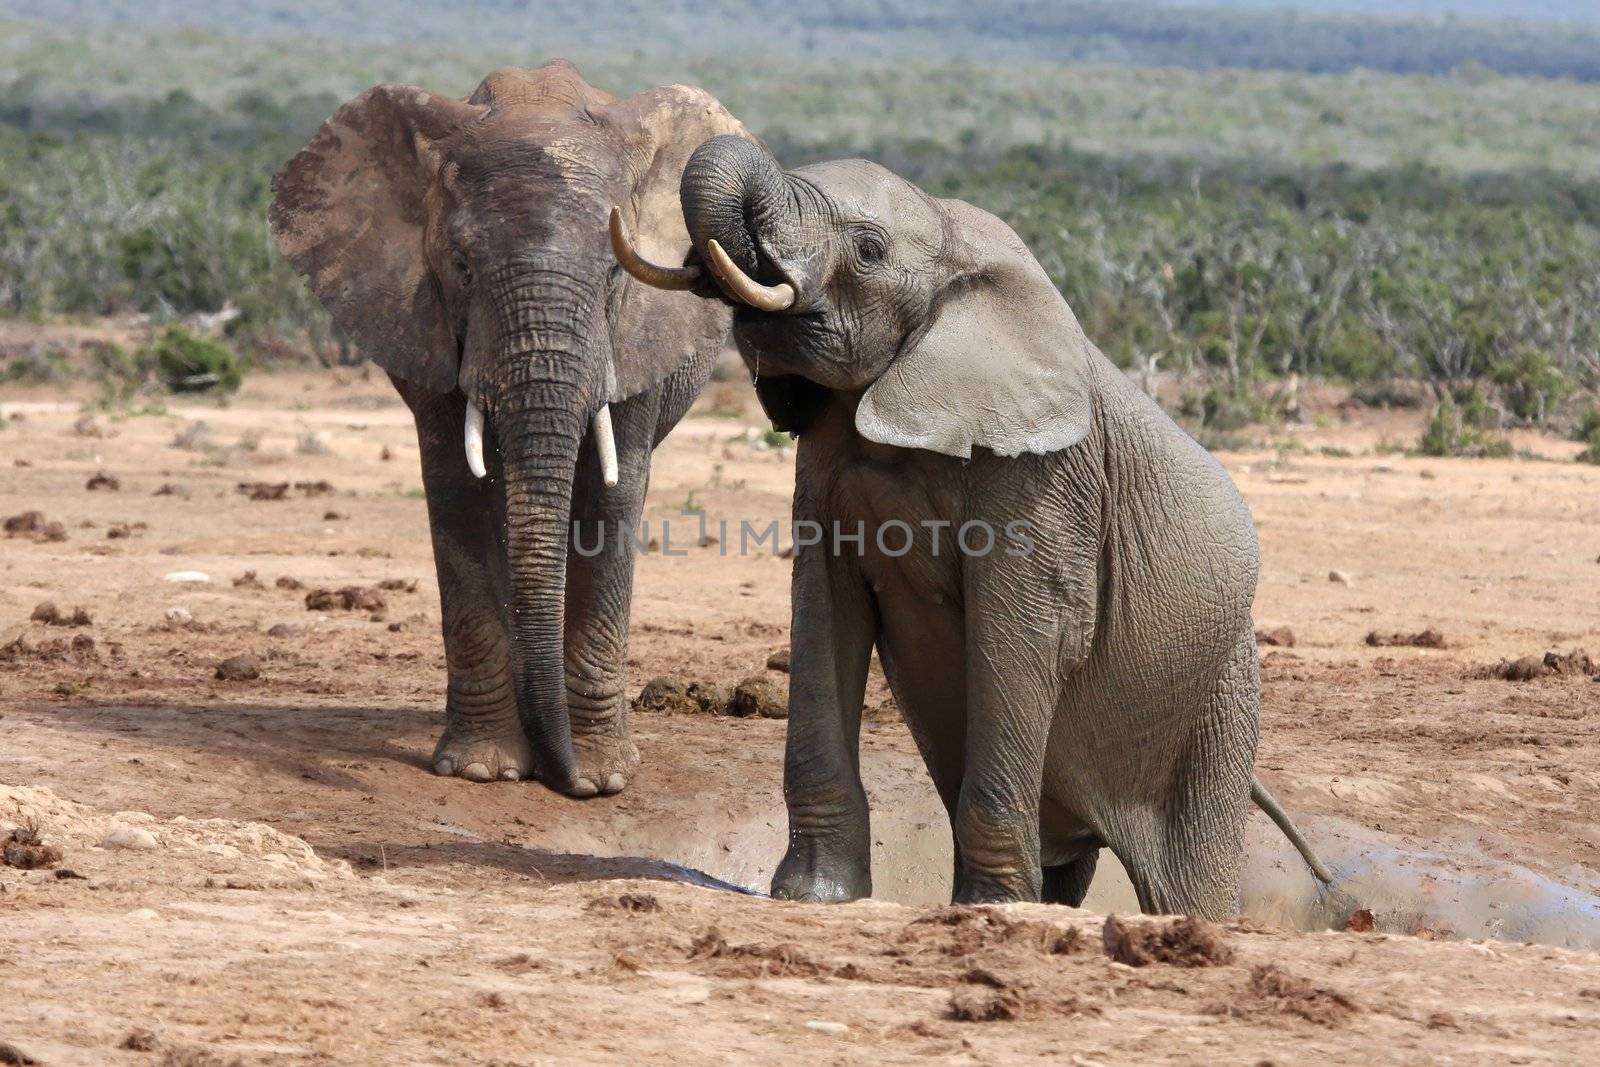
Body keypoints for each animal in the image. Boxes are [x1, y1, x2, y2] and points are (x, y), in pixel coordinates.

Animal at [270, 58, 755, 793]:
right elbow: (456, 493)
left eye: (615, 273)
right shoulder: (425, 326)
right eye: (462, 267)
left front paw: (600, 778)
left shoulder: (638, 338)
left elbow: (612, 500)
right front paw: (484, 770)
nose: (564, 775)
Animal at [614, 135, 1337, 921]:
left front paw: (991, 911)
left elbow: (1020, 634)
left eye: (868, 249)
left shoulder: (1043, 484)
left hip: (1219, 699)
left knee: (1187, 877)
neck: (954, 237)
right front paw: (814, 896)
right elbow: (825, 613)